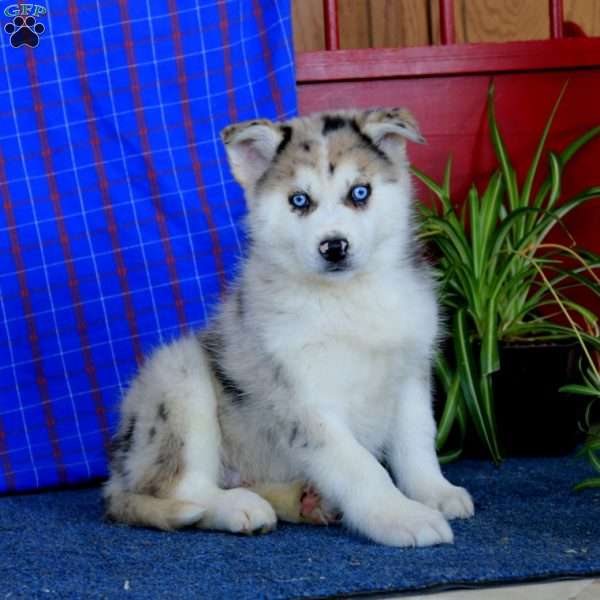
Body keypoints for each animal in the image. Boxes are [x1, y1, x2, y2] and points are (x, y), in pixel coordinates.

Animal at [105, 109, 476, 548]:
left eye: (360, 192)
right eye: (299, 200)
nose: (334, 247)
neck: (348, 298)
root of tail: (116, 473)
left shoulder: (409, 372)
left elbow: (417, 442)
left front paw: (435, 492)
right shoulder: (304, 399)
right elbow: (361, 466)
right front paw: (400, 515)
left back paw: (306, 502)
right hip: (178, 378)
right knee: (181, 487)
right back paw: (238, 507)